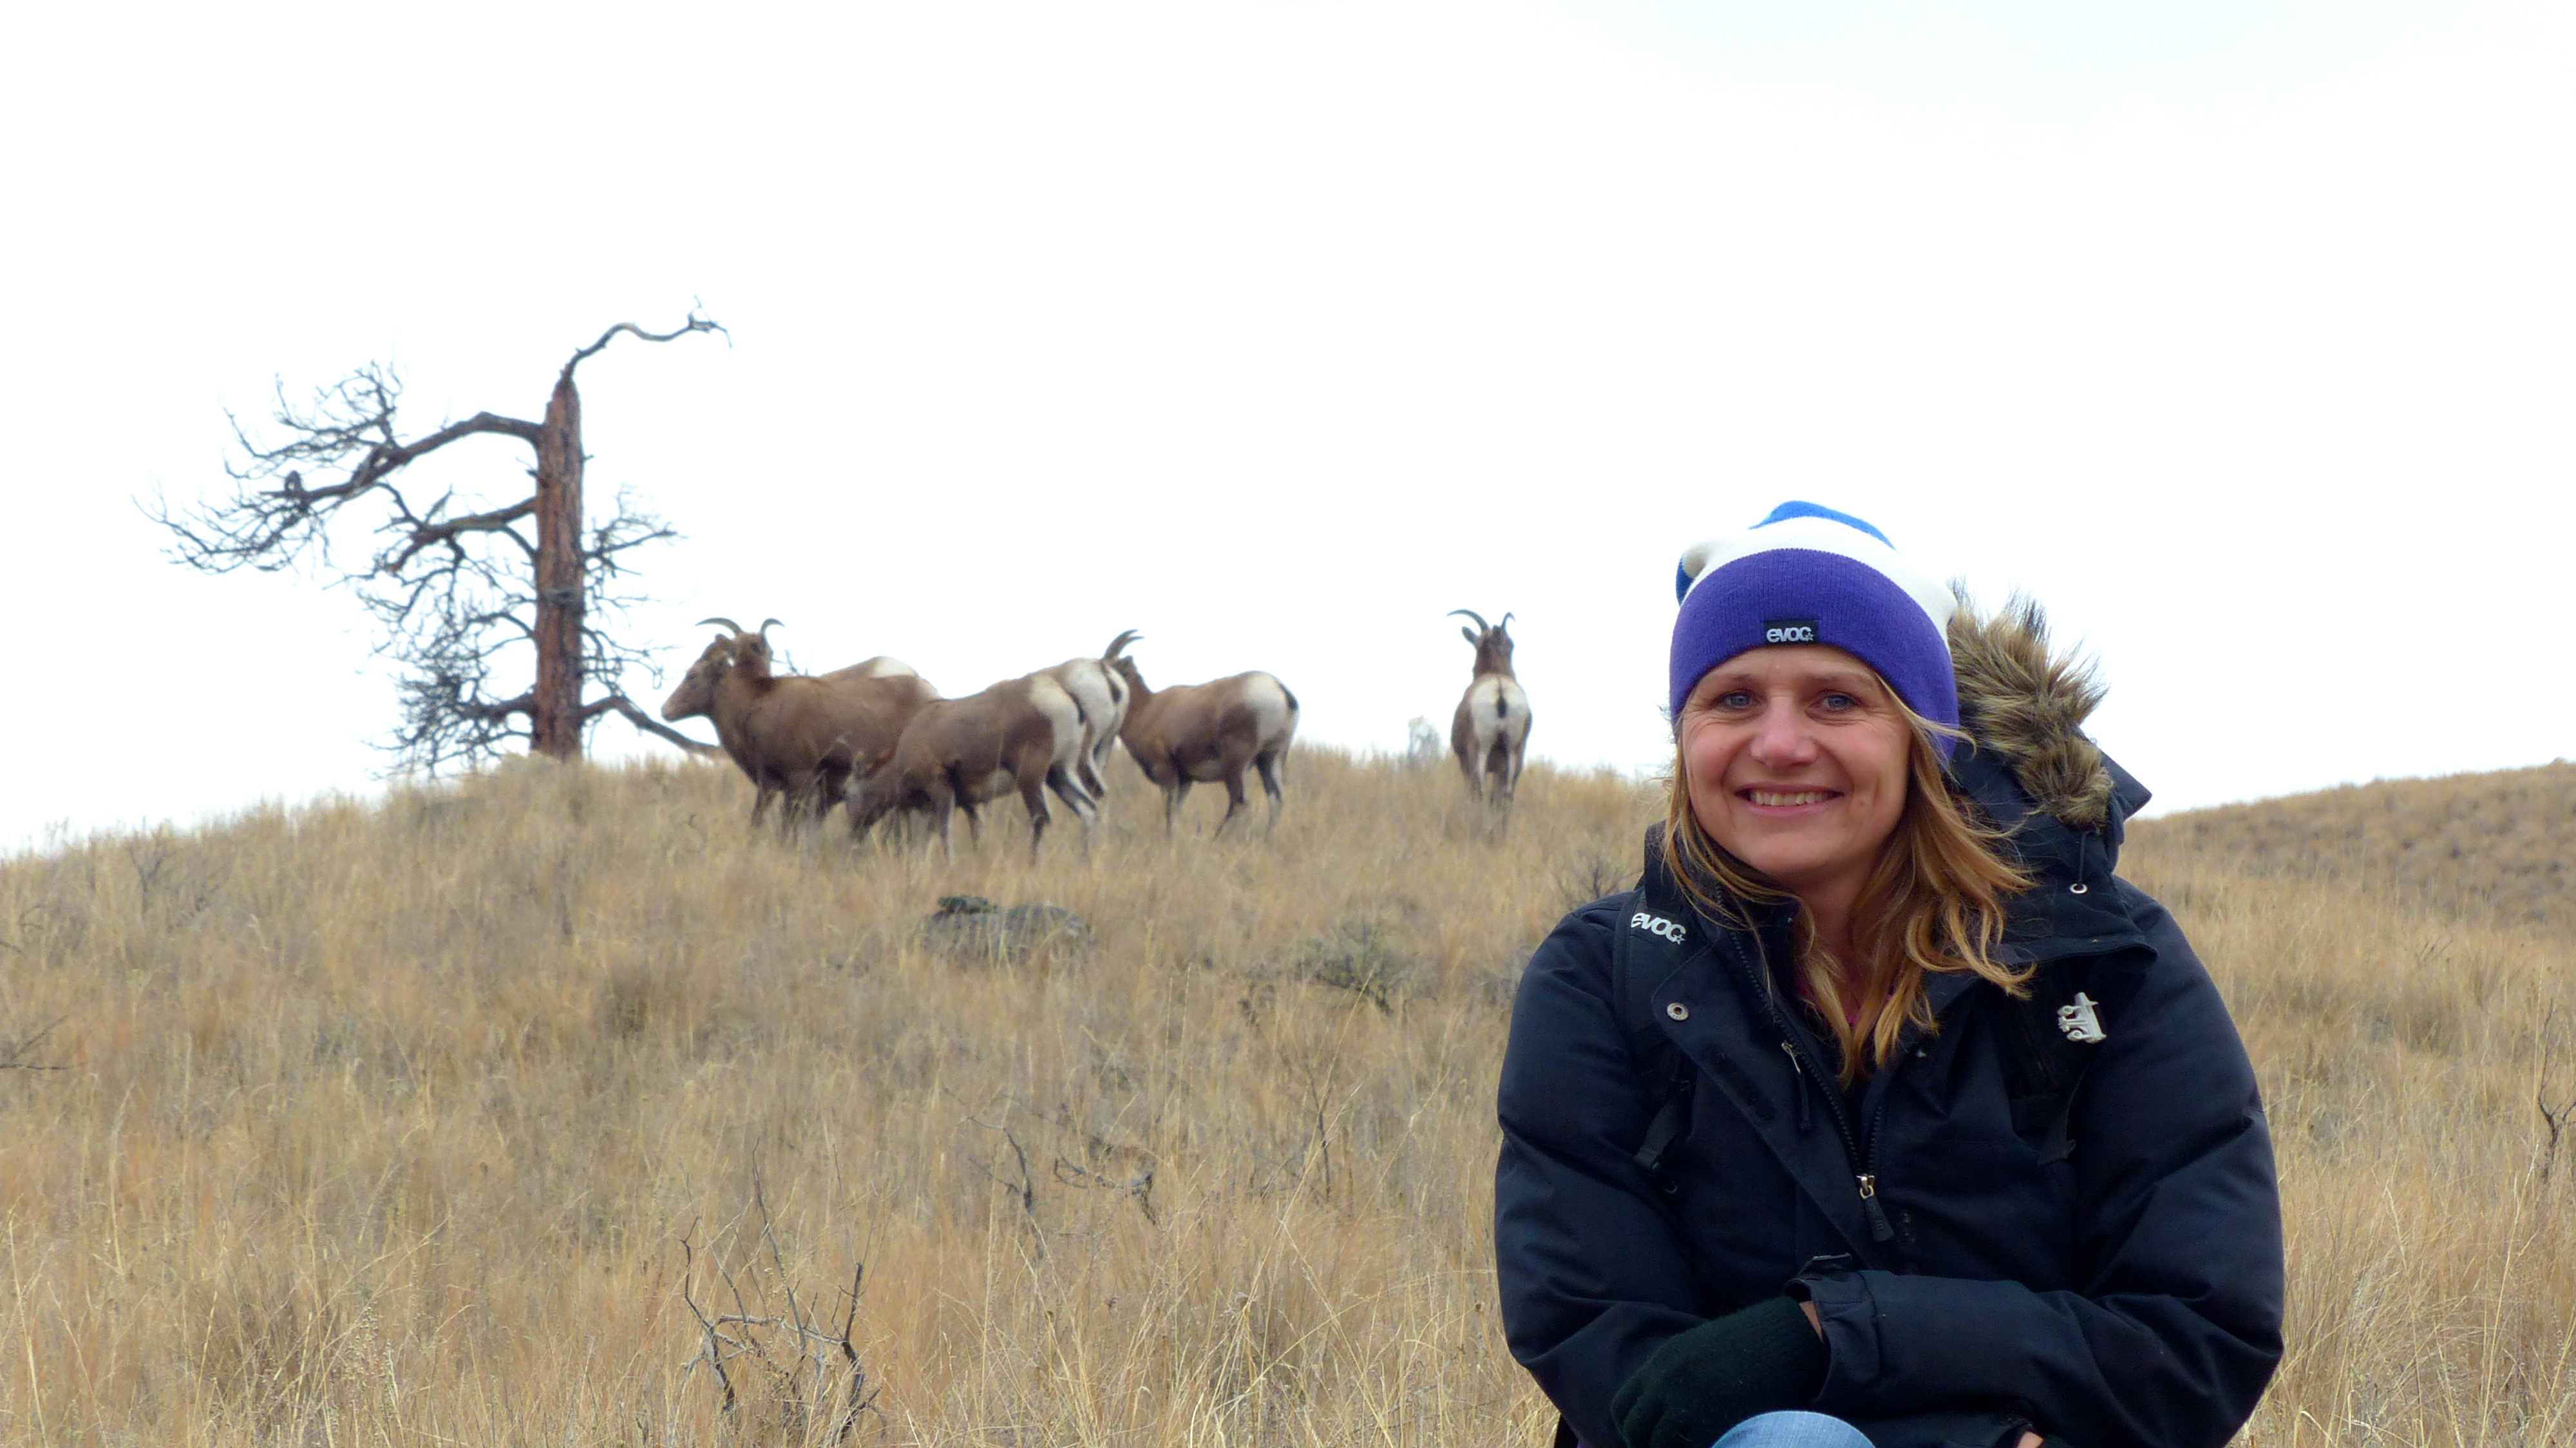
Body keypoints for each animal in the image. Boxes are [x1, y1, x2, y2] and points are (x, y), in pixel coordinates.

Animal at [840, 670, 1092, 855]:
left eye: (849, 793)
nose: (852, 833)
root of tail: (1065, 697)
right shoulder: (969, 804)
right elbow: (974, 835)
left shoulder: (941, 789)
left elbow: (944, 833)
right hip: (1060, 774)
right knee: (1088, 810)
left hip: (1031, 779)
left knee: (1041, 818)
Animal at [1113, 644, 1298, 835]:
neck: (1148, 708)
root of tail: (1280, 689)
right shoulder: (1185, 779)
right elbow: (1176, 811)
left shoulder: (1166, 771)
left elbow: (1169, 811)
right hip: (1271, 757)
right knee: (1276, 799)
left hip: (1238, 766)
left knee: (1239, 801)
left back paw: (1218, 838)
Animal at [1453, 605, 1525, 814]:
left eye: (1511, 644)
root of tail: (1500, 690)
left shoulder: (1465, 761)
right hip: (1515, 753)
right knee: (1507, 795)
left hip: (1480, 751)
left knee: (1479, 789)